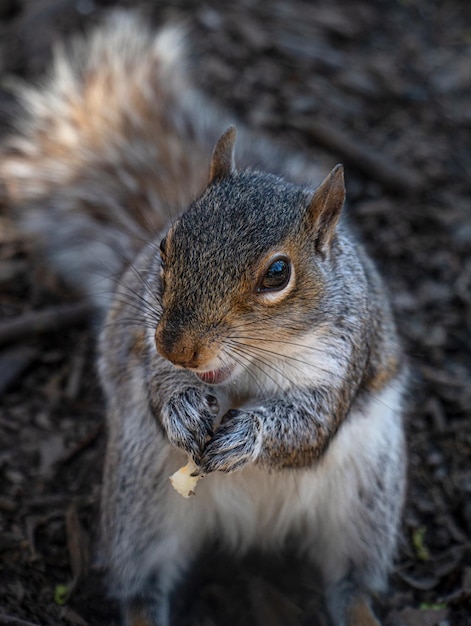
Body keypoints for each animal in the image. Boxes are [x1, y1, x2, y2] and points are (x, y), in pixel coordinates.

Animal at [0, 9, 406, 624]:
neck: (249, 370)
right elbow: (157, 384)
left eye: (278, 274)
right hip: (140, 501)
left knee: (351, 582)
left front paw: (247, 434)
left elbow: (308, 427)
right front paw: (182, 407)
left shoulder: (344, 359)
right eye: (166, 245)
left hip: (368, 495)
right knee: (142, 587)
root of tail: (253, 529)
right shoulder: (144, 342)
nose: (179, 347)